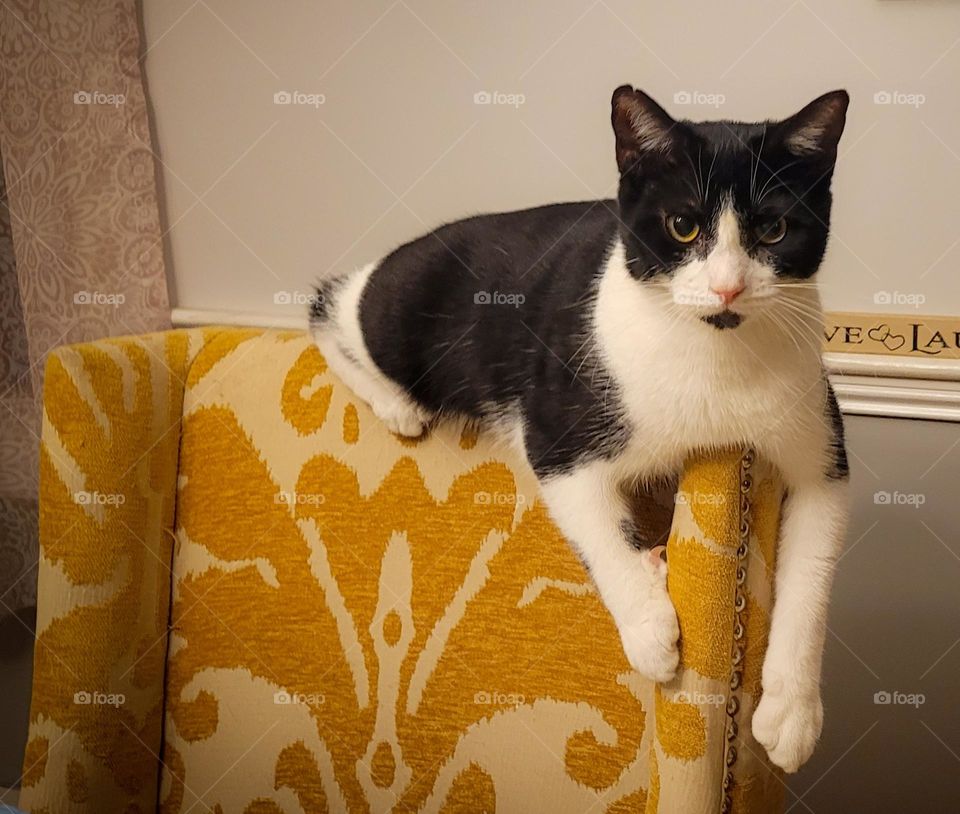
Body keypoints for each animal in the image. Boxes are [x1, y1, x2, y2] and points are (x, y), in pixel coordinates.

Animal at [312, 86, 852, 776]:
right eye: (683, 226)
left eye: (774, 229)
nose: (728, 286)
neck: (715, 356)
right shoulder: (555, 433)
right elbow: (595, 525)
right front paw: (649, 626)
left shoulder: (819, 445)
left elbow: (812, 567)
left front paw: (792, 713)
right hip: (400, 313)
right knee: (331, 308)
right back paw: (394, 402)